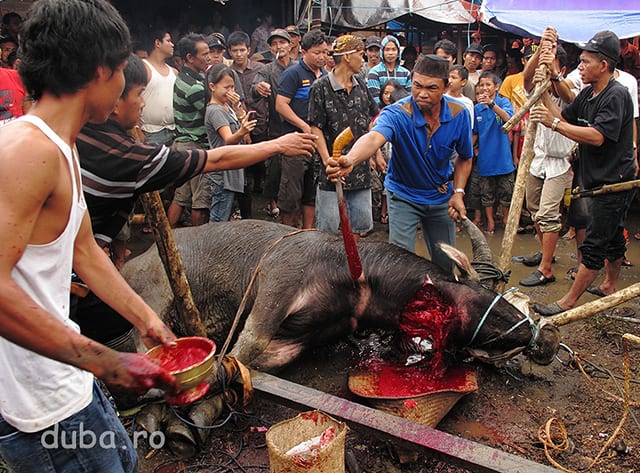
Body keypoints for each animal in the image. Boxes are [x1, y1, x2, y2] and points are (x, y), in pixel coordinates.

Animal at [121, 219, 560, 370]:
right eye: (481, 298)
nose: (546, 340)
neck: (354, 277)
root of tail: (131, 262)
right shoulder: (277, 284)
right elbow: (245, 349)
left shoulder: (298, 339)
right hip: (154, 295)